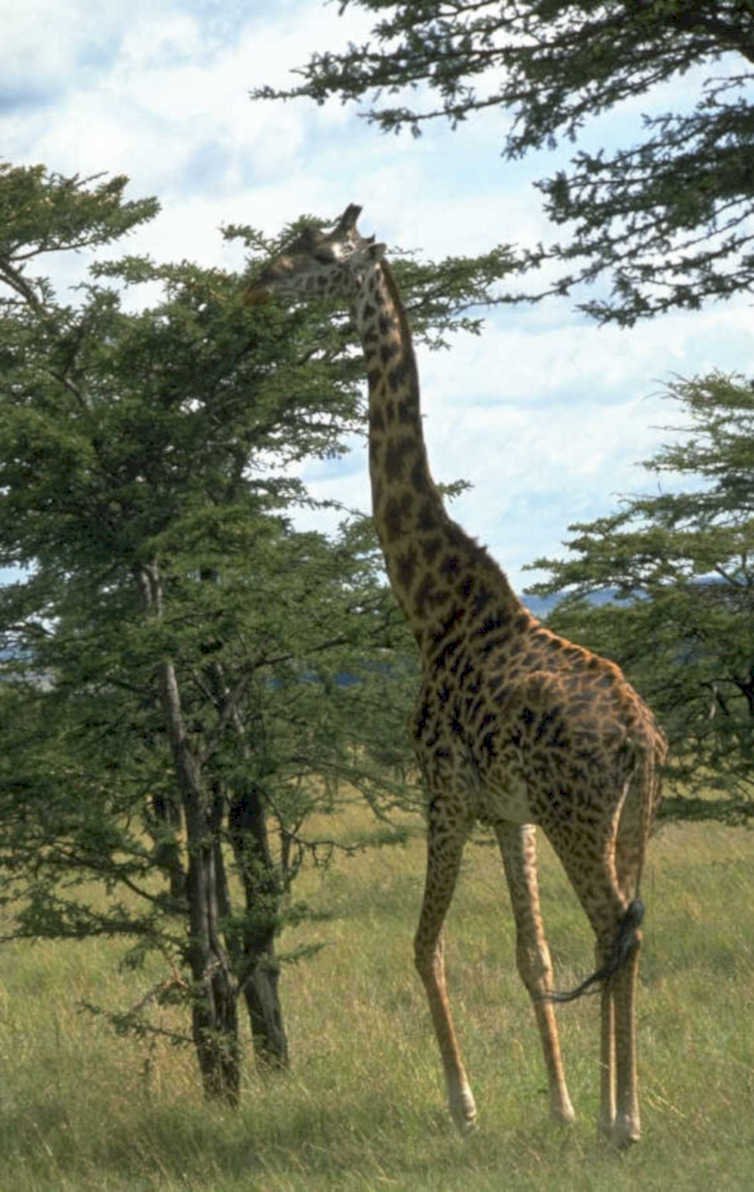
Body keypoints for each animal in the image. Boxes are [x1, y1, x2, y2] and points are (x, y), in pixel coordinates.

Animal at [247, 204, 666, 1147]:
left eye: (317, 252)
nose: (255, 283)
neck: (431, 605)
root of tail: (640, 736)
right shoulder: (508, 812)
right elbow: (529, 953)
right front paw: (560, 1103)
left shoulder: (443, 793)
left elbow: (422, 943)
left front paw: (464, 1105)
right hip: (626, 815)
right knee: (619, 933)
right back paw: (611, 1109)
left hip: (578, 812)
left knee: (611, 928)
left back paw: (626, 1123)